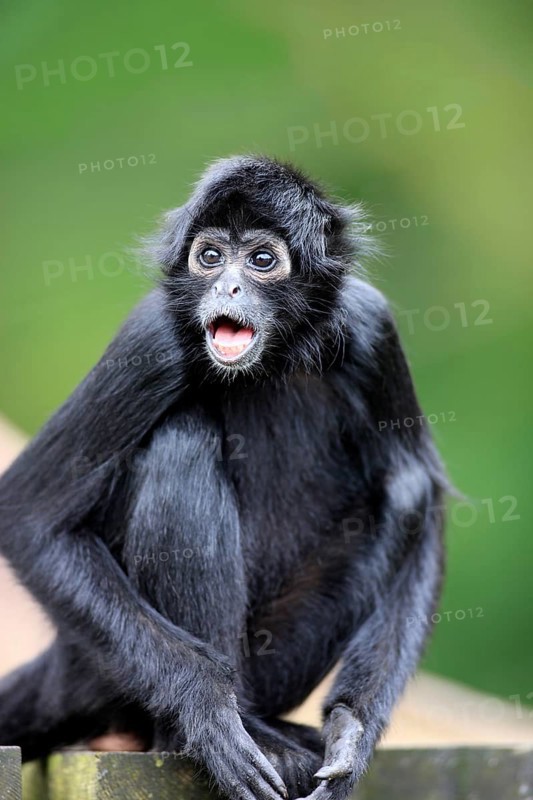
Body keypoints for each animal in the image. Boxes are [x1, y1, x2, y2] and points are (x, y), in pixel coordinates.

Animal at [0, 155, 447, 800]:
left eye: (261, 260)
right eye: (210, 257)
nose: (227, 288)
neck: (272, 362)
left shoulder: (372, 326)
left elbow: (423, 500)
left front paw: (352, 732)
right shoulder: (153, 336)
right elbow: (28, 517)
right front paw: (208, 710)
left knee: (404, 493)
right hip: (101, 670)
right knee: (181, 441)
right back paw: (212, 732)